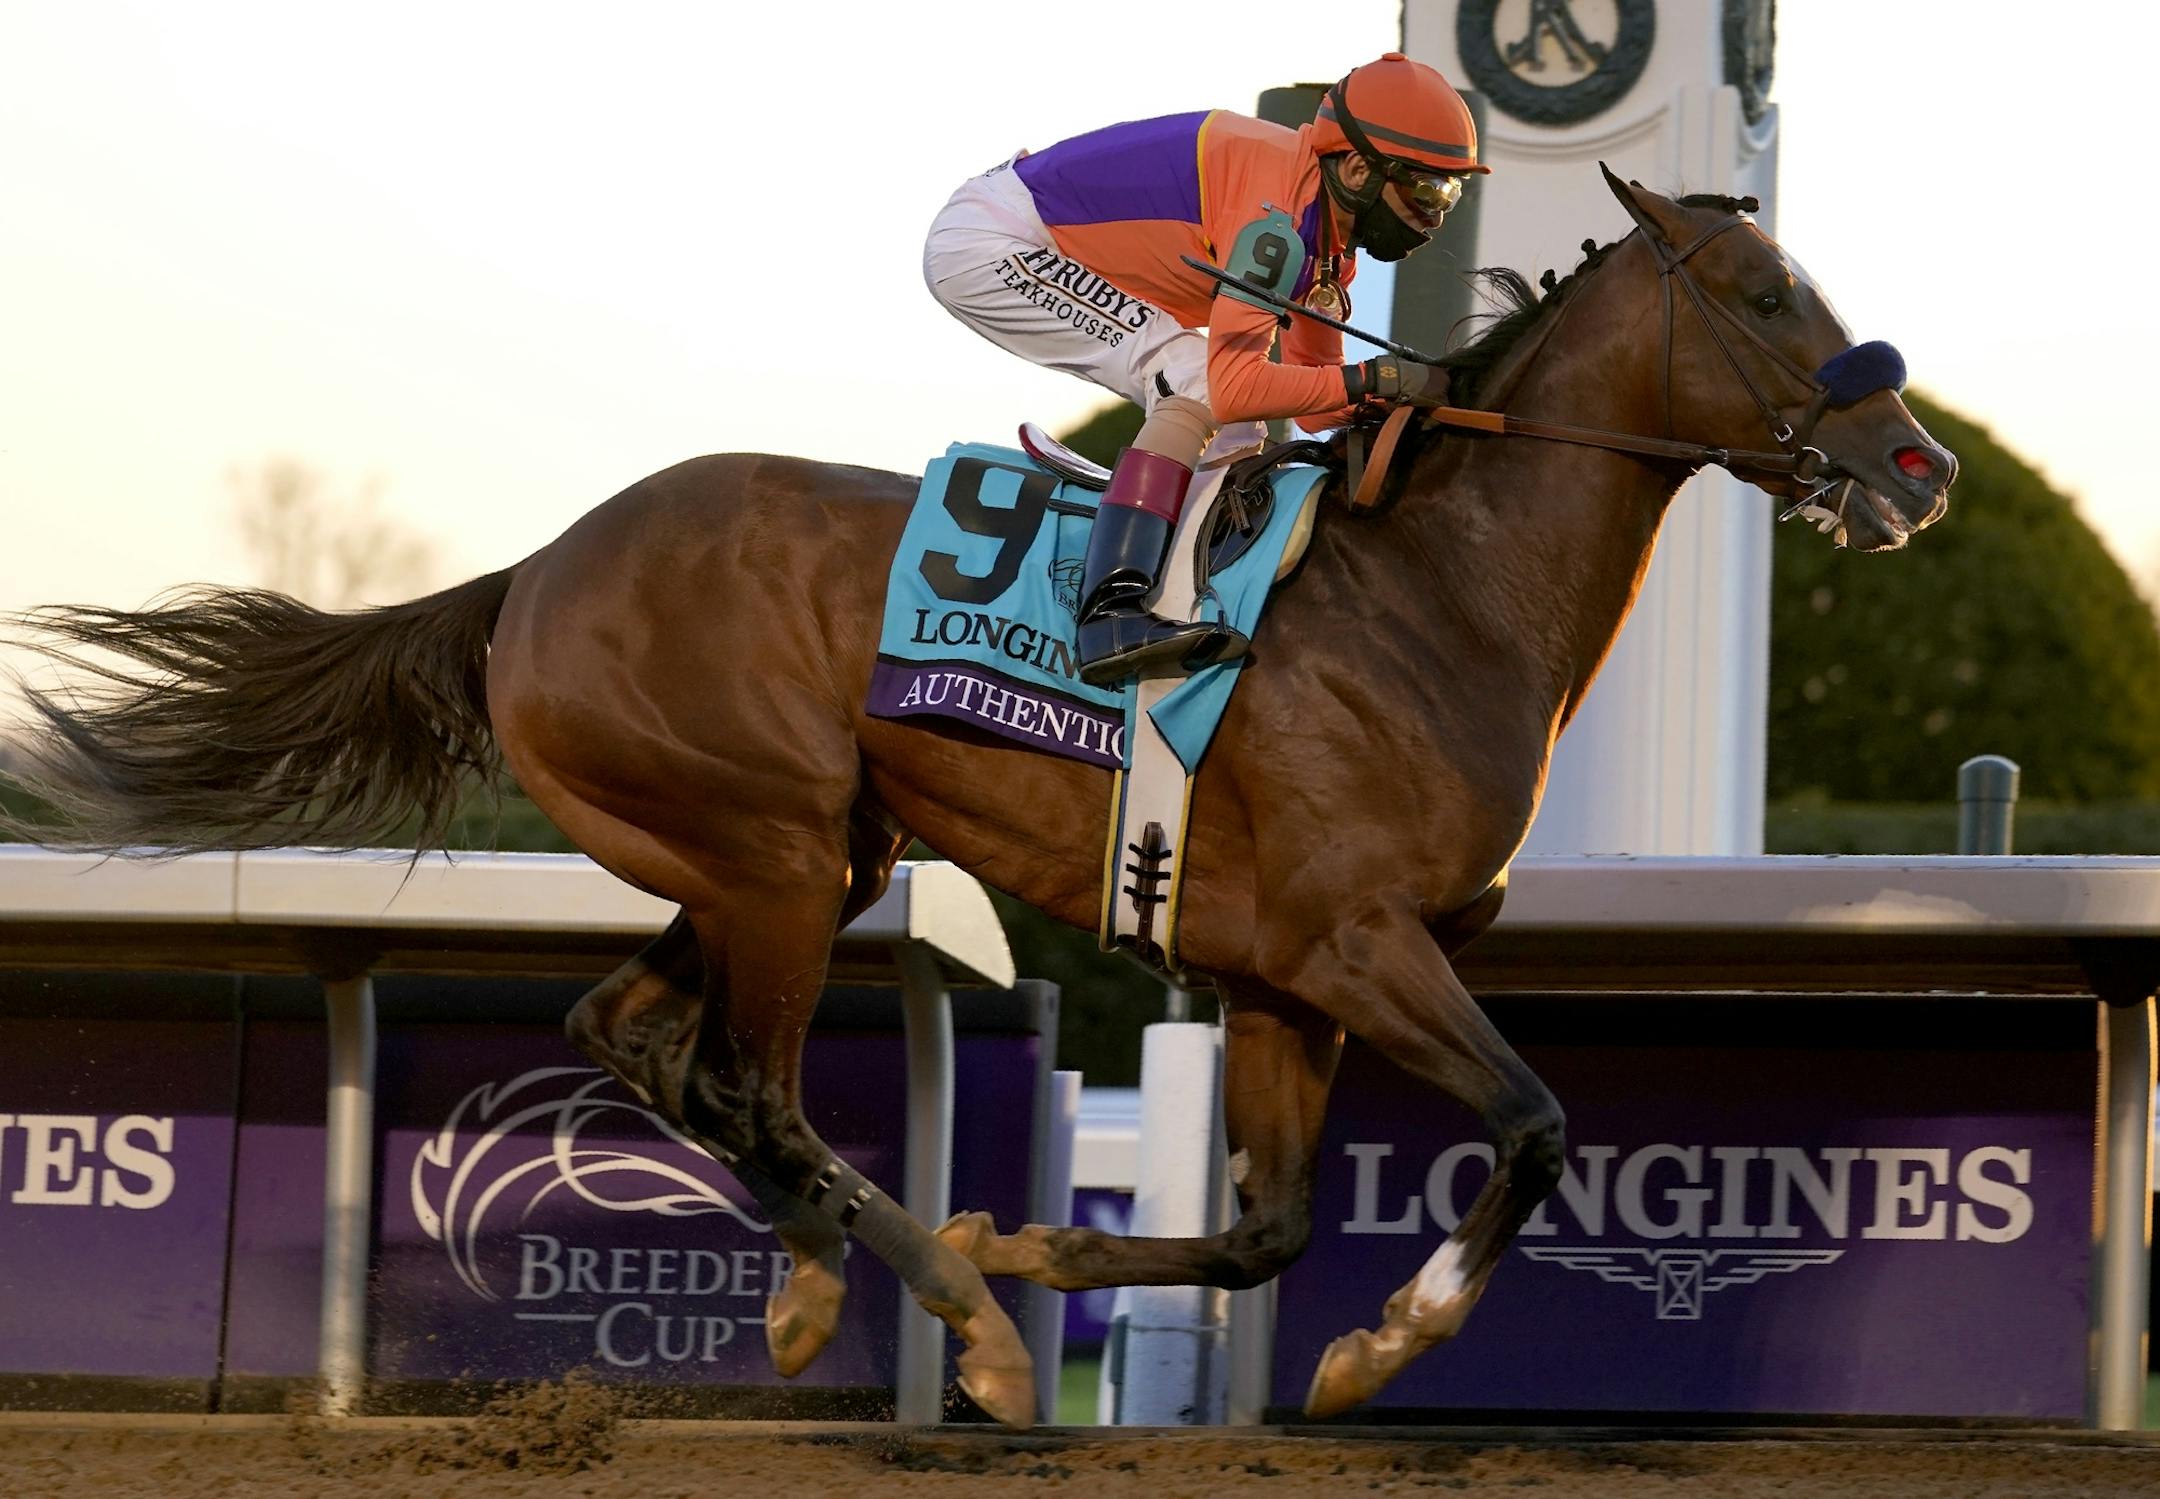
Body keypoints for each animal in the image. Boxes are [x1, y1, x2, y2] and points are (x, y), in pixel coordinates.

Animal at [4, 171, 1952, 1426]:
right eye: (1766, 297)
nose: (1920, 462)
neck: (1440, 588)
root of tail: (534, 571)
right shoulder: (1356, 939)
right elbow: (1534, 1123)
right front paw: (1380, 1343)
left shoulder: (1281, 973)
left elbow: (1268, 1225)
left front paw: (1044, 1235)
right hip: (780, 847)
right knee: (750, 1082)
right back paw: (959, 1324)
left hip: (781, 845)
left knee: (634, 1028)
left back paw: (841, 1281)